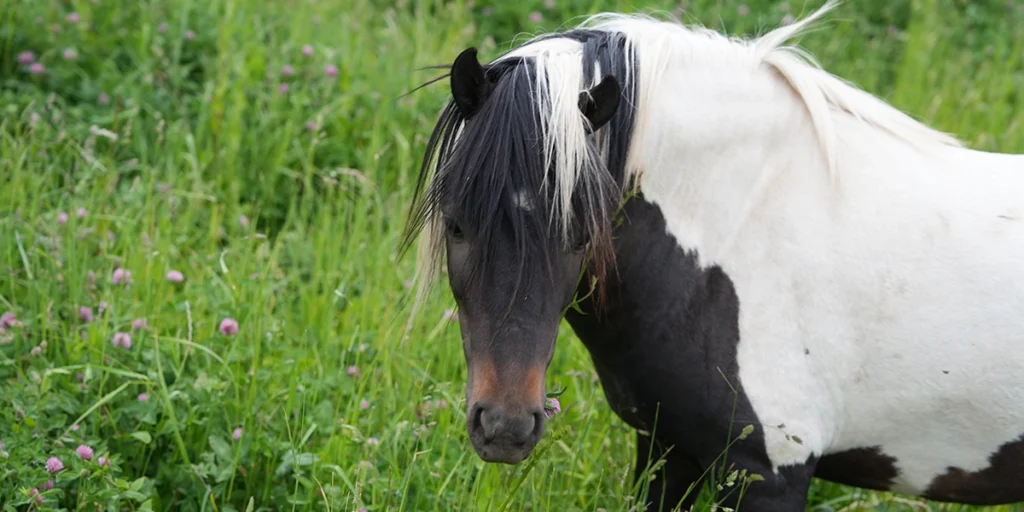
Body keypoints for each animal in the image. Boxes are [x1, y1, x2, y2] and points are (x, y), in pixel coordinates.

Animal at [400, 1, 1024, 509]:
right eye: (456, 224)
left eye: (581, 234)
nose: (506, 425)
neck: (745, 220)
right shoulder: (669, 449)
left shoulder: (767, 475)